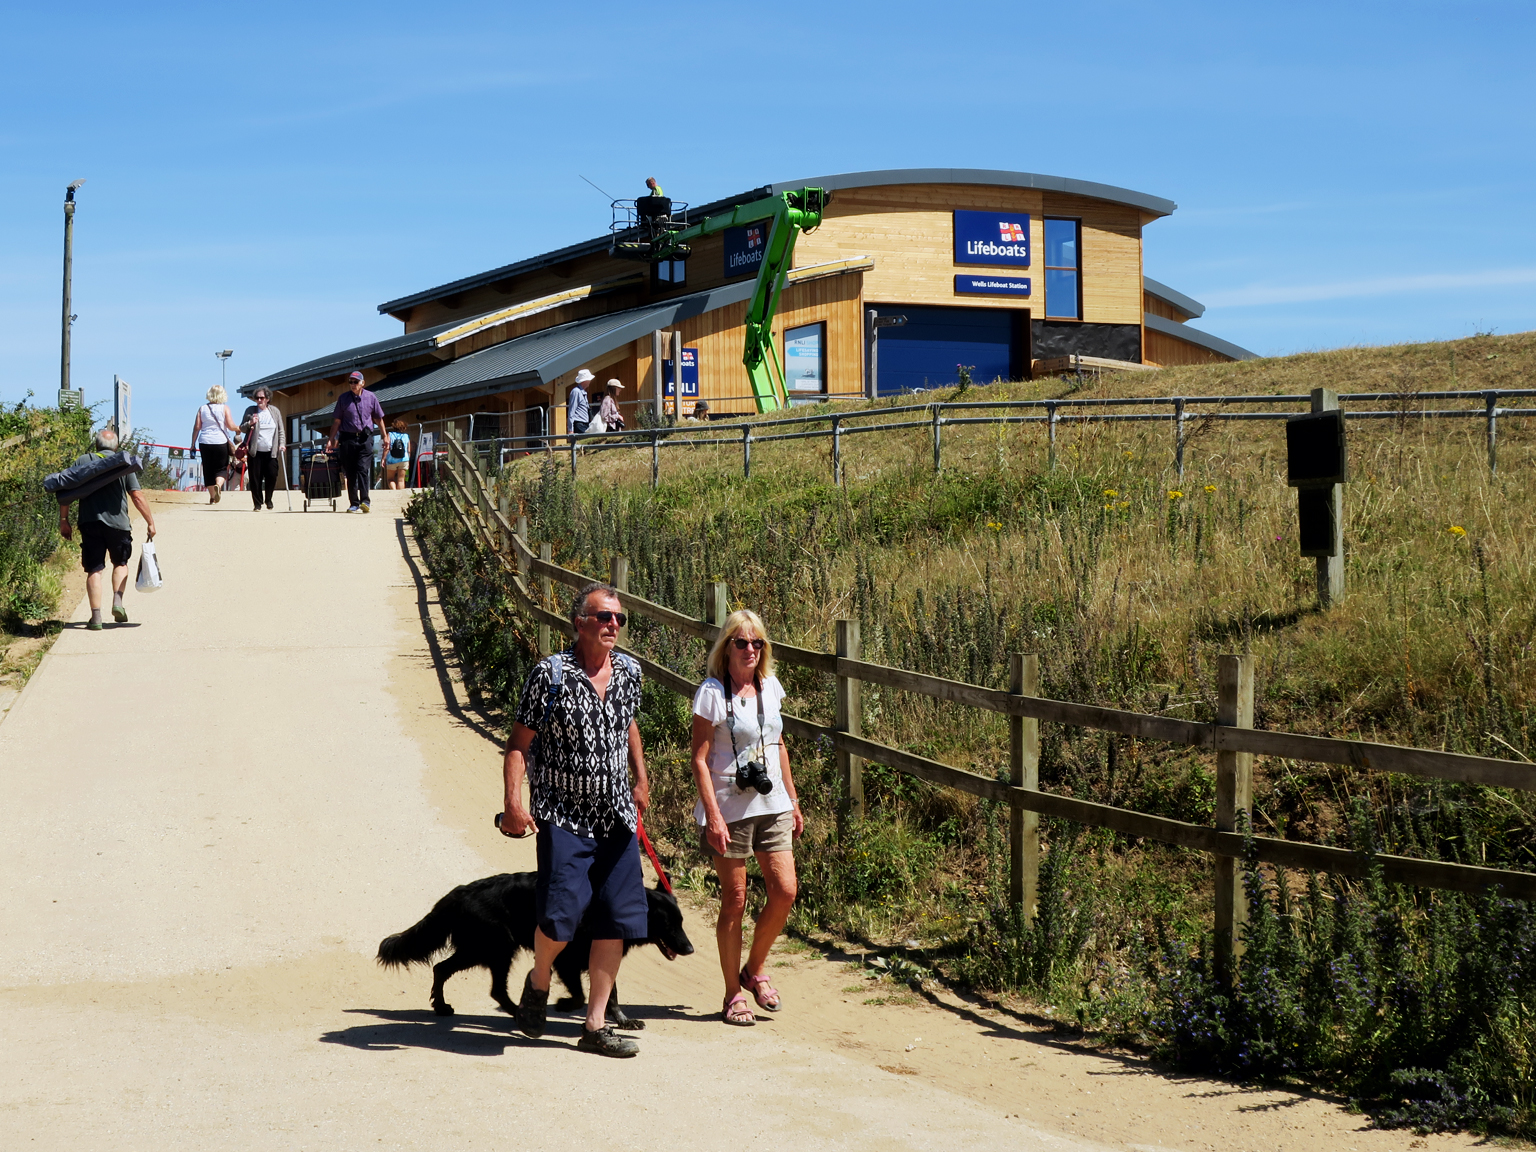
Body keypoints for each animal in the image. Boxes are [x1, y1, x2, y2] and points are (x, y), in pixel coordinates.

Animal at [374, 872, 694, 1026]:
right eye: (669, 924)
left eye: (682, 922)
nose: (690, 949)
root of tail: (460, 892)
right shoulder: (567, 961)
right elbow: (580, 996)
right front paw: (563, 1005)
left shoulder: (599, 957)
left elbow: (611, 995)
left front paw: (623, 1022)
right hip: (494, 947)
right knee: (464, 977)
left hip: (489, 949)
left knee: (459, 975)